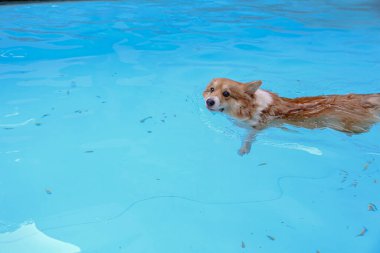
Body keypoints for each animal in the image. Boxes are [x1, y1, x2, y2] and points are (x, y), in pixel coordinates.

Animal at [203, 78, 380, 155]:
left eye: (226, 94)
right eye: (211, 89)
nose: (209, 102)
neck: (248, 106)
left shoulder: (258, 126)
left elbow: (249, 136)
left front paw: (244, 149)